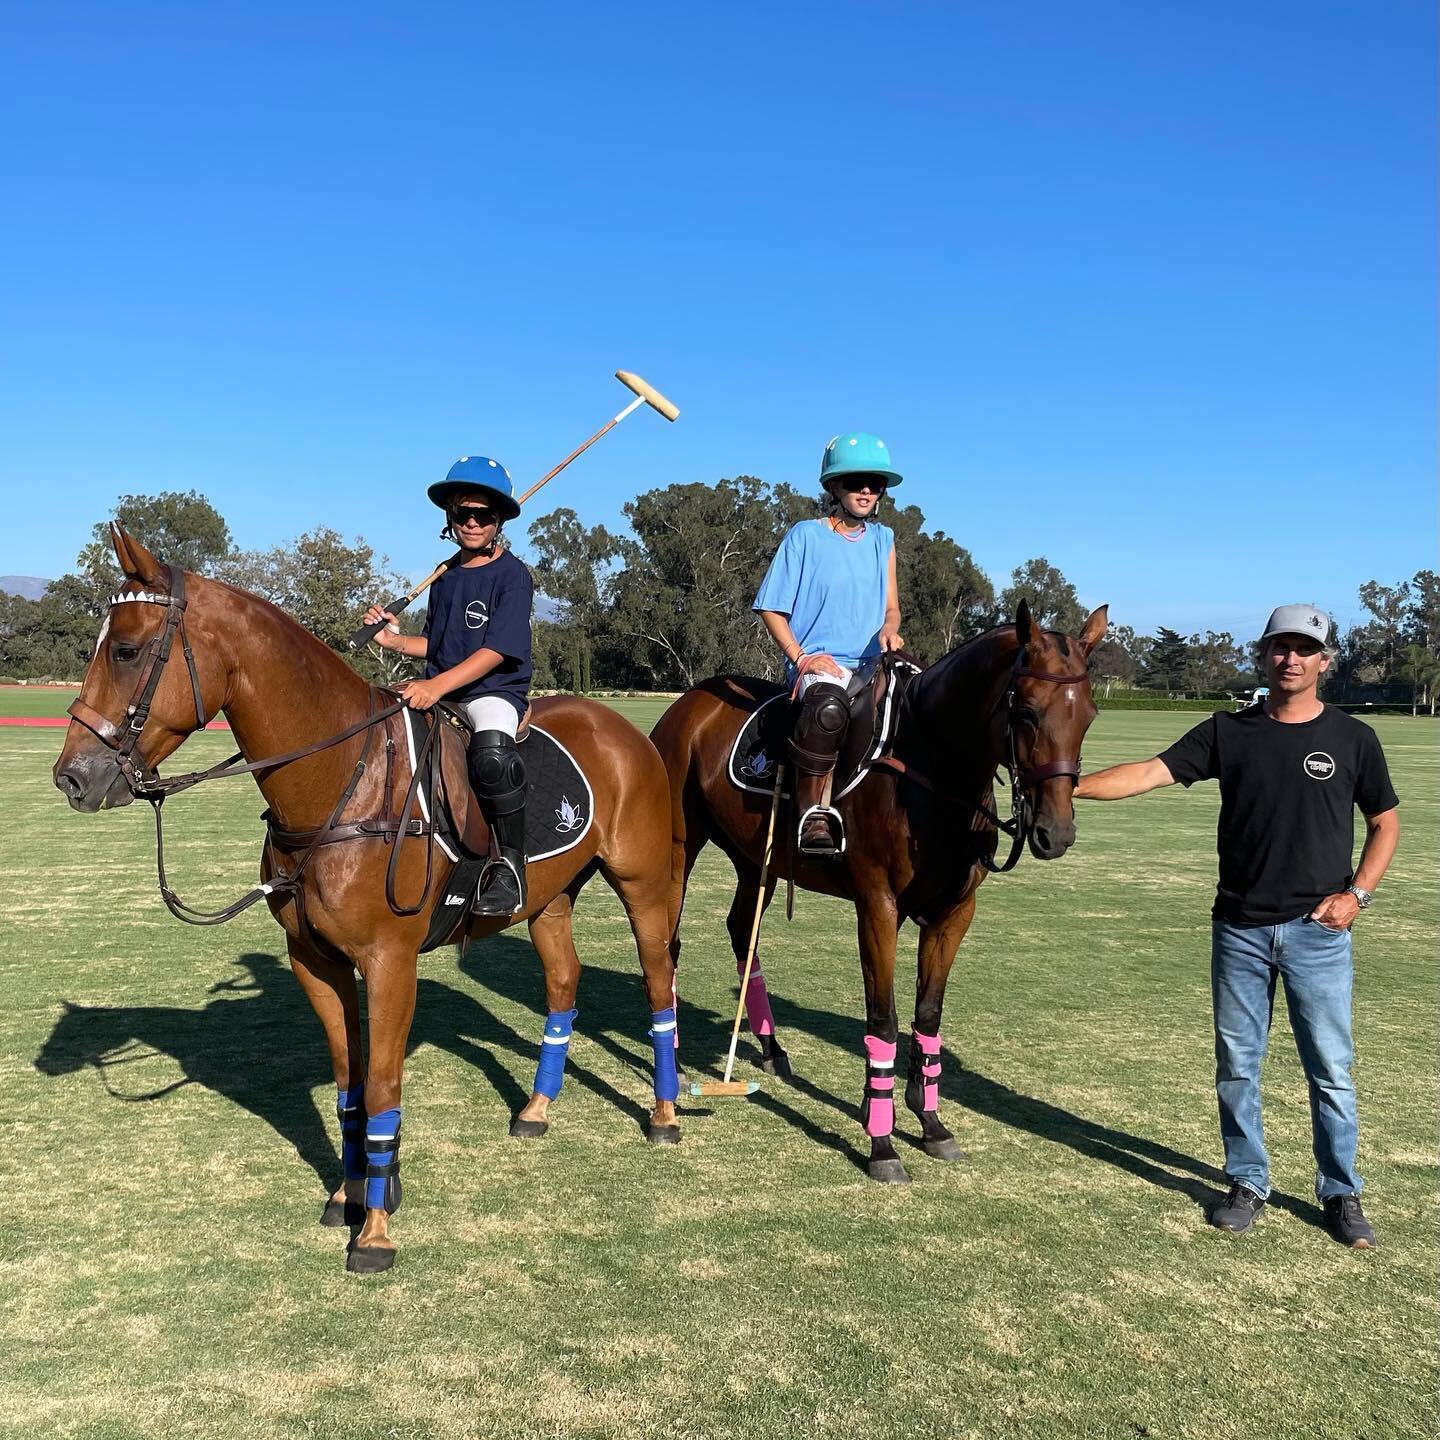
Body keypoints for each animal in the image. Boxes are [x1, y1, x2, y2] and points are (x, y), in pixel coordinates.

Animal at [56, 527, 679, 1272]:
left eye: (124, 649)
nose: (71, 778)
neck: (335, 781)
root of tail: (622, 727)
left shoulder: (389, 960)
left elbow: (382, 1085)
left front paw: (376, 1232)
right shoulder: (315, 960)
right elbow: (349, 1087)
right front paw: (348, 1196)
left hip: (644, 881)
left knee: (658, 982)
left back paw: (665, 1117)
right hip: (549, 900)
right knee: (563, 983)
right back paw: (534, 1111)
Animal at [653, 604, 1111, 1180]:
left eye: (1089, 715)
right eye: (1026, 711)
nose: (1056, 833)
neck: (933, 770)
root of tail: (690, 700)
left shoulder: (954, 912)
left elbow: (928, 1015)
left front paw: (930, 1122)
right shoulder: (878, 906)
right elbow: (884, 1020)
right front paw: (882, 1142)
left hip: (755, 856)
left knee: (742, 929)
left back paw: (773, 1049)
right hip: (681, 843)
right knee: (669, 939)